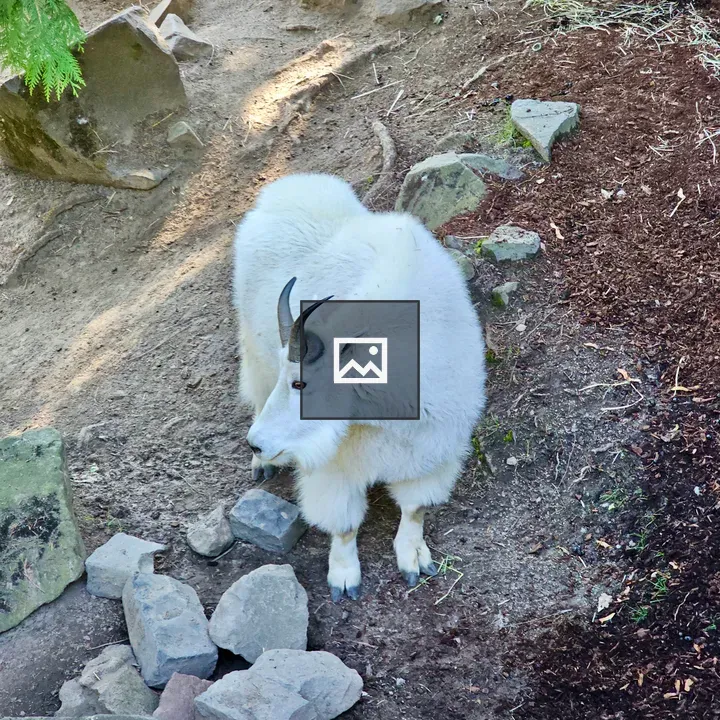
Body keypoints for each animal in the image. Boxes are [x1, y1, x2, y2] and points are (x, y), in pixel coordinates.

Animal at [233, 173, 486, 600]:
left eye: (301, 382)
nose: (256, 443)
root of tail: (283, 189)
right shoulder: (335, 469)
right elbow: (345, 524)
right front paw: (344, 578)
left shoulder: (433, 452)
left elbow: (414, 509)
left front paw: (414, 559)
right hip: (253, 343)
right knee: (254, 387)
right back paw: (264, 465)